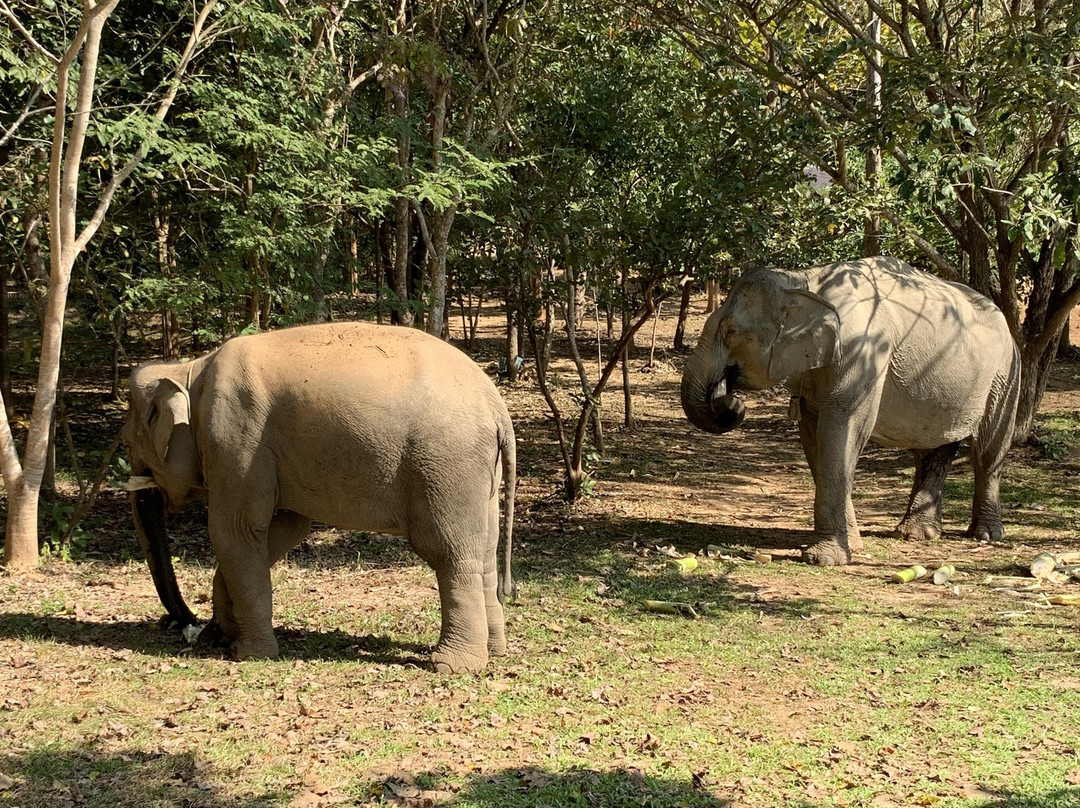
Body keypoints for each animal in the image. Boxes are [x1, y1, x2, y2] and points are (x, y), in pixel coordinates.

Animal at [121, 322, 516, 673]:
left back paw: (452, 666)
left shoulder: (235, 442)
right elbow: (282, 530)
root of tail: (496, 404)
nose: (188, 623)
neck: (188, 369)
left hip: (446, 466)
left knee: (450, 553)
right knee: (485, 552)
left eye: (130, 439)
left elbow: (233, 532)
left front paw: (248, 655)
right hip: (481, 476)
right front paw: (222, 637)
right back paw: (495, 651)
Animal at [681, 256, 1020, 566]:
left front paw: (824, 558)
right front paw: (851, 545)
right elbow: (814, 436)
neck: (805, 280)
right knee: (933, 451)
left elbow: (843, 427)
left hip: (1004, 375)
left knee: (988, 450)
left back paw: (985, 535)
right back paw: (915, 534)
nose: (731, 401)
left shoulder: (863, 353)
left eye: (731, 331)